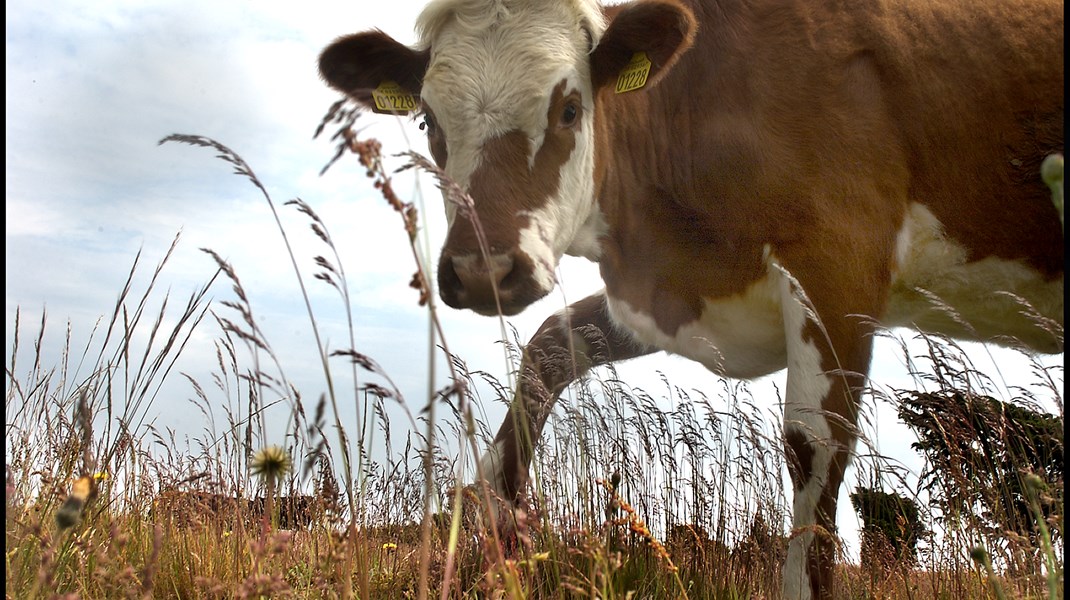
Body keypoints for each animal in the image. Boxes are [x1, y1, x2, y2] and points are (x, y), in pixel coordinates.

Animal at [316, 0, 1061, 594]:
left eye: (569, 108)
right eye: (429, 121)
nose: (482, 271)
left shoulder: (839, 262)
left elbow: (813, 445)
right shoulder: (673, 289)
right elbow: (549, 348)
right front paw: (500, 523)